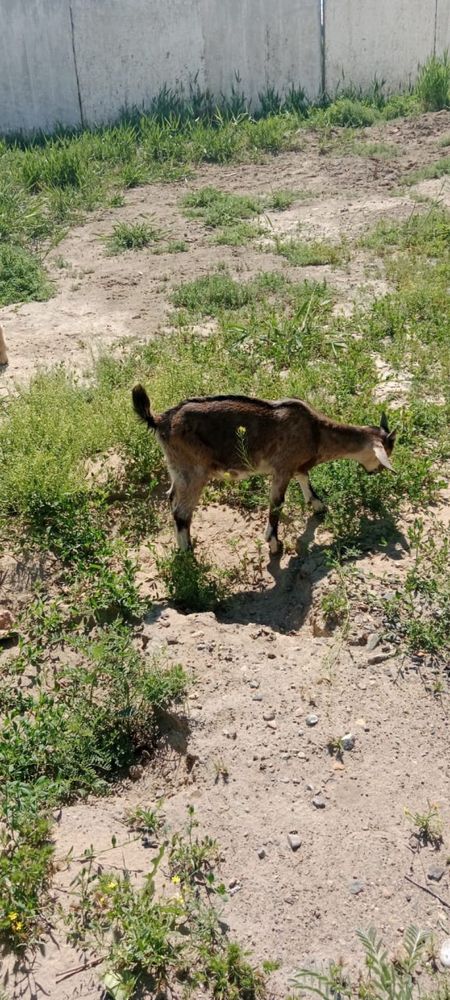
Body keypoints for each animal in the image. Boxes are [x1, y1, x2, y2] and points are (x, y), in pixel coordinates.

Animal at [132, 382, 396, 556]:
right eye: (386, 453)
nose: (376, 472)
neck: (315, 432)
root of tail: (159, 421)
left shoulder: (295, 465)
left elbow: (305, 478)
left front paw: (319, 506)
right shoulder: (282, 469)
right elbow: (276, 505)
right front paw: (274, 545)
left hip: (178, 468)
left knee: (171, 497)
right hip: (194, 471)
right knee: (182, 513)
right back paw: (189, 554)